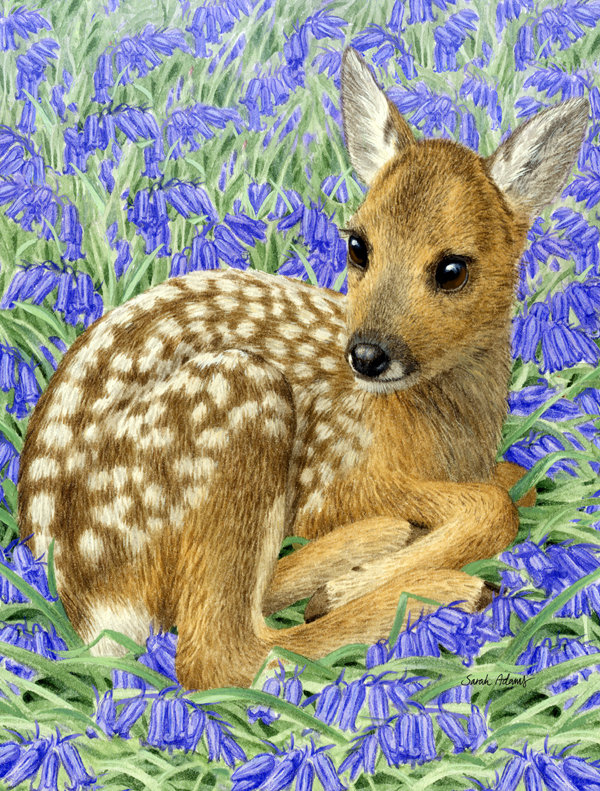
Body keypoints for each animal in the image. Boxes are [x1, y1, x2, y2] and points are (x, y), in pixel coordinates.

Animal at [18, 48, 588, 690]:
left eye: (453, 269)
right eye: (358, 245)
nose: (366, 354)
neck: (448, 438)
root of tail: (86, 599)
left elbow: (518, 482)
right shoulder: (338, 481)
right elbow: (494, 505)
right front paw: (354, 583)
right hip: (238, 399)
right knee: (219, 654)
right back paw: (432, 587)